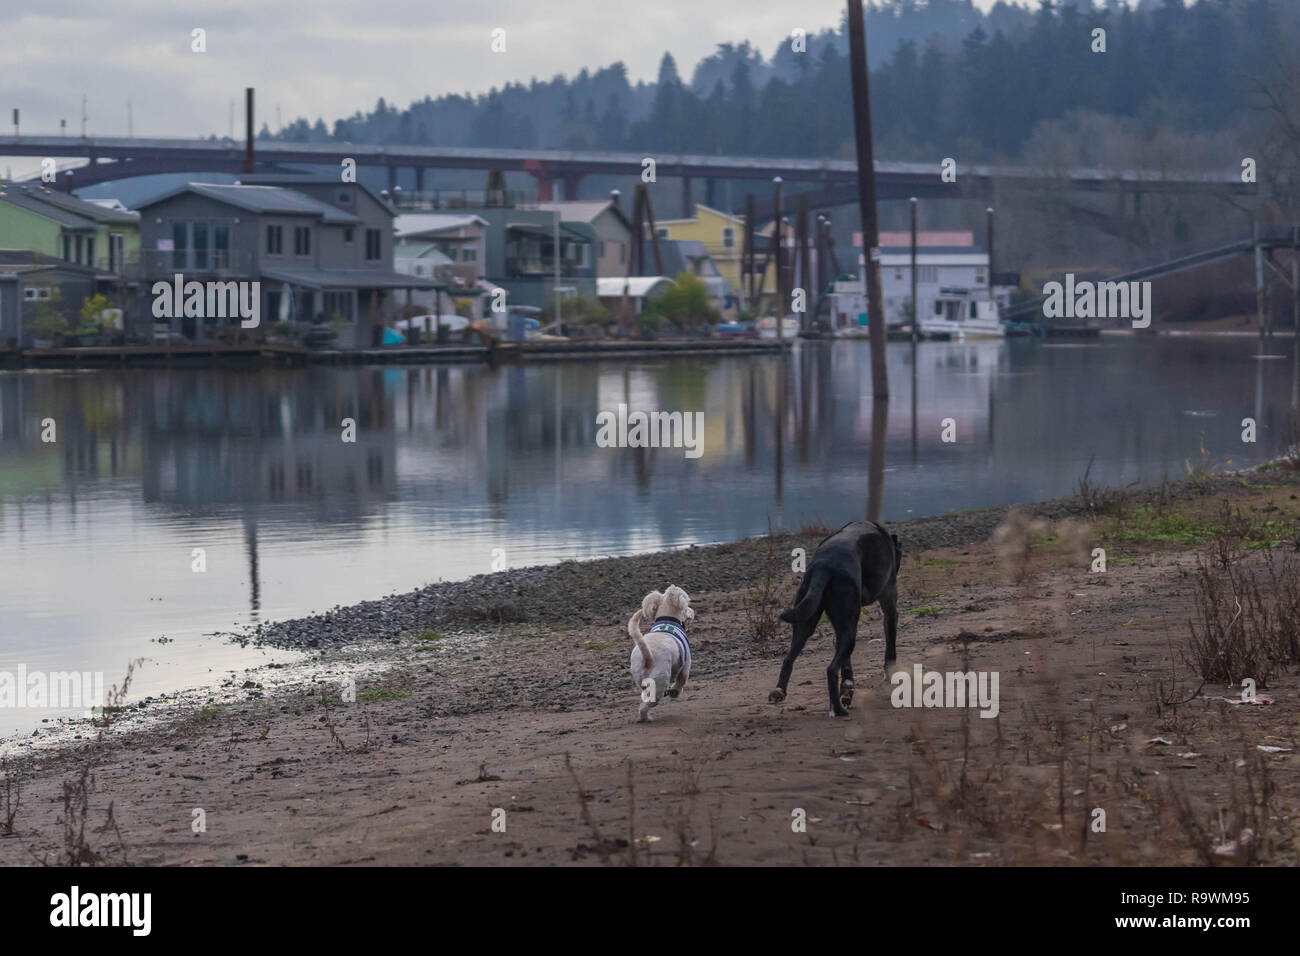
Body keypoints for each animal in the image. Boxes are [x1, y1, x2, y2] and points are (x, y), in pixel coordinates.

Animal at [626, 582, 696, 723]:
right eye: (686, 606)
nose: (693, 611)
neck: (668, 619)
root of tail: (648, 655)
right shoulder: (686, 665)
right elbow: (681, 681)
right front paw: (675, 692)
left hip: (640, 677)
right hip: (659, 681)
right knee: (646, 704)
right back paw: (646, 718)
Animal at [764, 522, 899, 717]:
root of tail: (825, 566)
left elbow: (846, 664)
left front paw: (847, 687)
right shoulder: (889, 604)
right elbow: (890, 644)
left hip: (806, 622)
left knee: (789, 658)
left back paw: (780, 690)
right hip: (848, 632)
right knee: (831, 670)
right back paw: (838, 709)